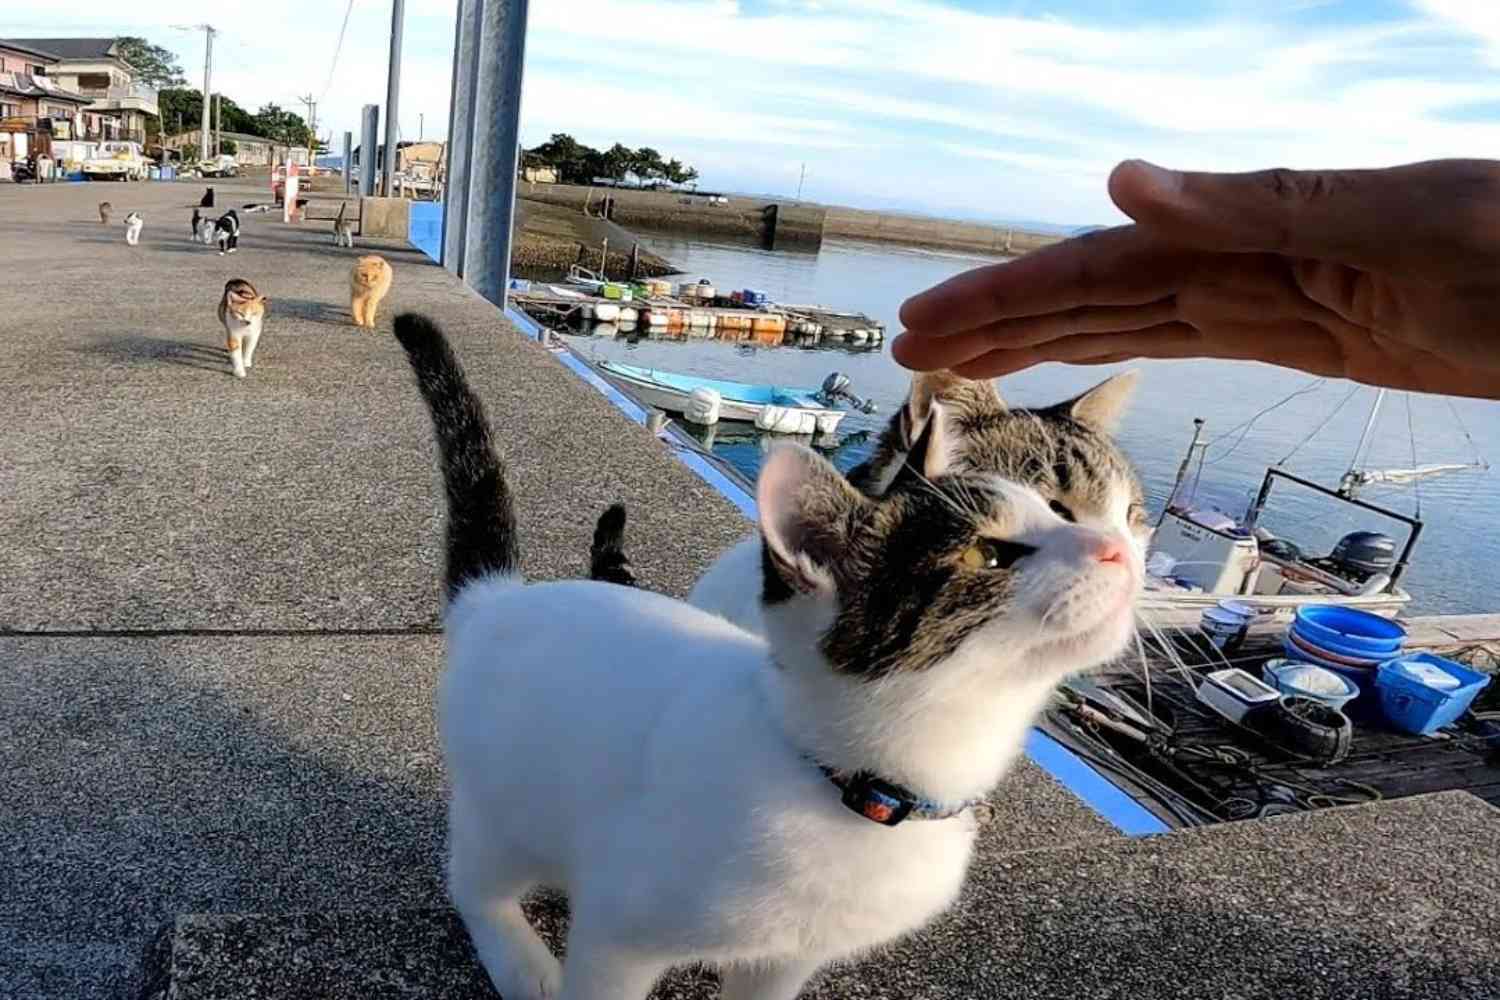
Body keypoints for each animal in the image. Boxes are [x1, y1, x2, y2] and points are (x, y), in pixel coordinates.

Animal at [393, 316, 1140, 1000]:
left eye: (1055, 511)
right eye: (989, 554)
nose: (1120, 550)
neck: (860, 786)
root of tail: (499, 598)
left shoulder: (788, 957)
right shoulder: (619, 928)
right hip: (504, 802)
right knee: (475, 878)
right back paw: (519, 958)